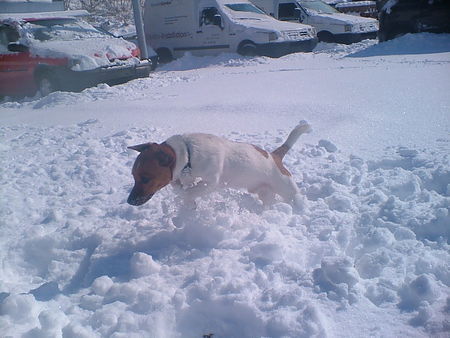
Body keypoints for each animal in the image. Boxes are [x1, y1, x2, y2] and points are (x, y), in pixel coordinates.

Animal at [125, 121, 312, 206]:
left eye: (146, 178)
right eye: (133, 176)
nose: (129, 201)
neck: (188, 155)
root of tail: (275, 156)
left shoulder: (211, 182)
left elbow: (190, 192)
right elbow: (180, 188)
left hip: (287, 189)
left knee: (295, 199)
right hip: (264, 192)